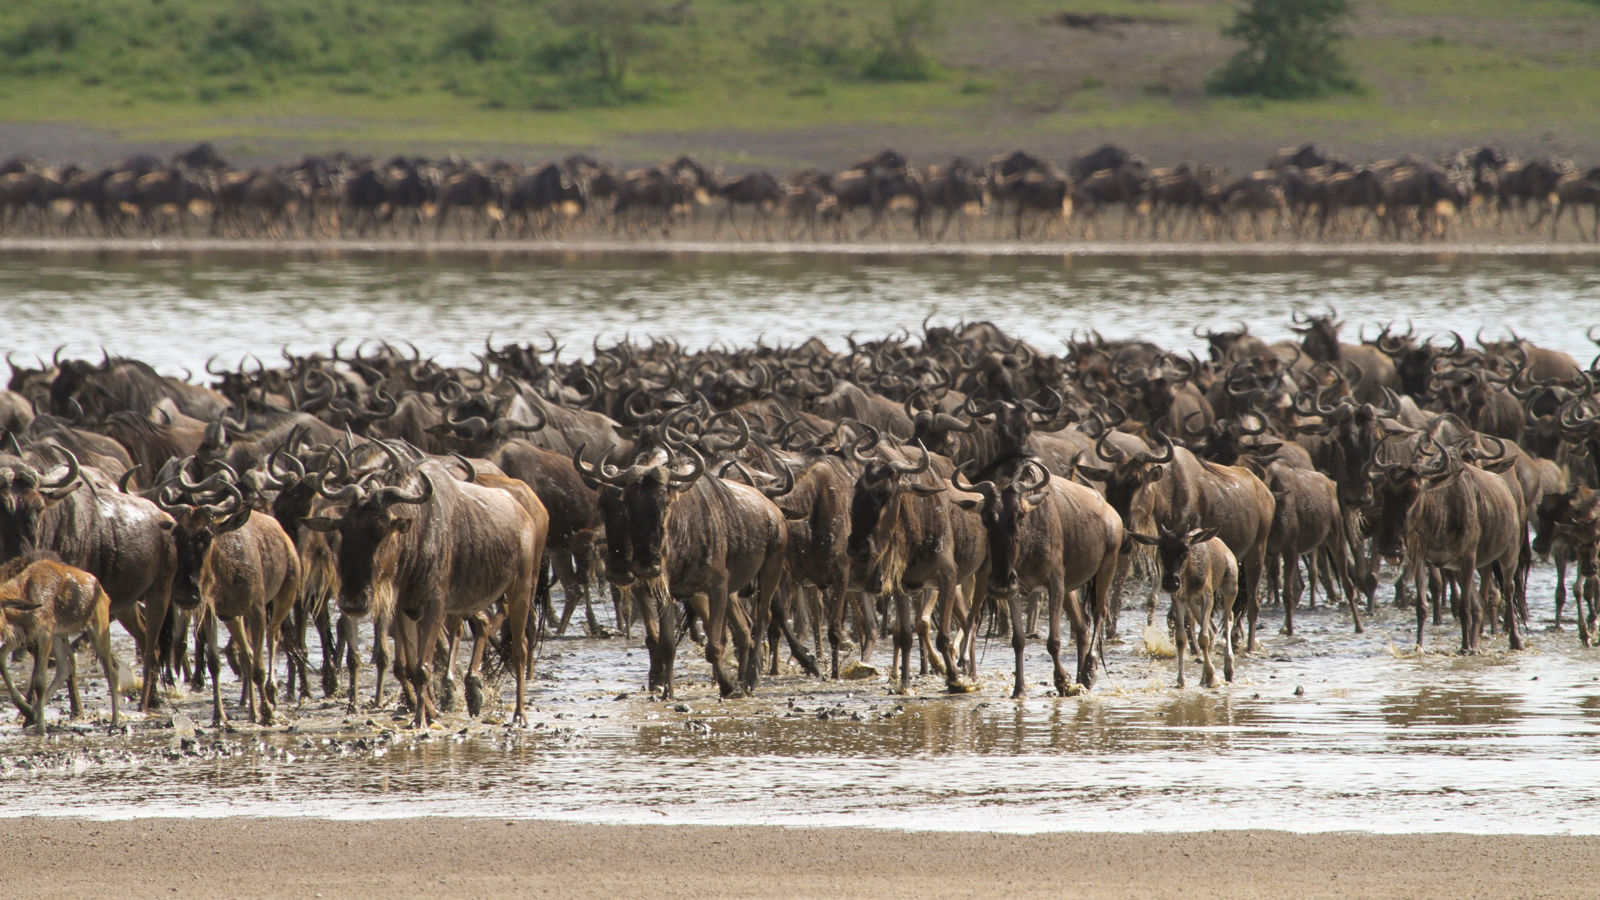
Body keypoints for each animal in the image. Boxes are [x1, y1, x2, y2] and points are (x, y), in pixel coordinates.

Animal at [0, 550, 118, 733]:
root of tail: (105, 594)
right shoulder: (23, 635)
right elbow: (1, 660)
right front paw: (27, 709)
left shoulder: (44, 633)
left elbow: (40, 681)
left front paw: (41, 728)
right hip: (58, 636)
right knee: (66, 667)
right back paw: (31, 714)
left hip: (97, 630)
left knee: (112, 671)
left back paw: (115, 720)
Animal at [1126, 525, 1235, 685]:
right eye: (1162, 550)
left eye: (1185, 550)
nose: (1171, 582)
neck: (1189, 576)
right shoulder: (1179, 598)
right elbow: (1181, 638)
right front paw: (1181, 679)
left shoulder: (1207, 596)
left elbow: (1203, 638)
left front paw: (1211, 674)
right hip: (1192, 603)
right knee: (1213, 628)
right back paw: (1203, 677)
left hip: (1230, 586)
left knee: (1228, 619)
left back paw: (1228, 668)